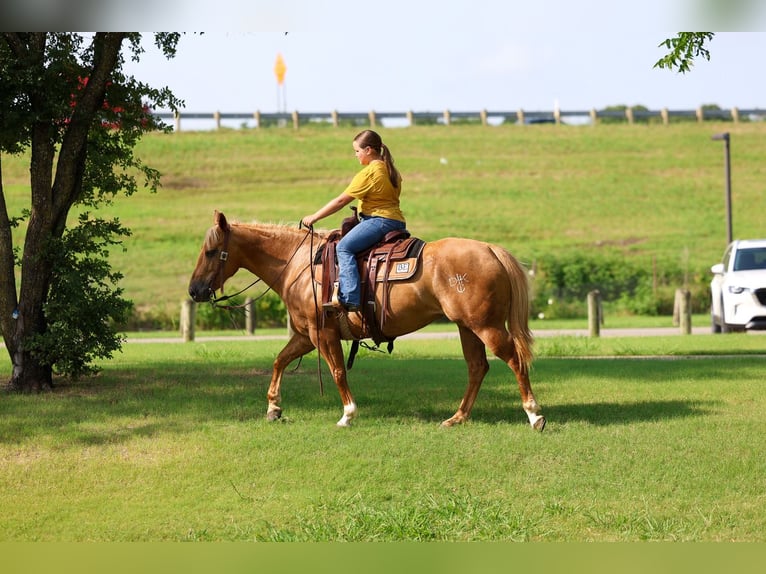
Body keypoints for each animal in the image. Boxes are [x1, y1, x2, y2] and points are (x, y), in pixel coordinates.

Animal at [188, 211, 545, 431]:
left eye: (210, 252)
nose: (194, 290)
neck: (299, 264)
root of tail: (490, 249)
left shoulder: (322, 333)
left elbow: (336, 371)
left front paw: (348, 414)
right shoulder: (305, 334)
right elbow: (279, 361)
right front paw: (274, 408)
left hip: (486, 326)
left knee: (514, 360)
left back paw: (533, 414)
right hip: (467, 327)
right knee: (477, 368)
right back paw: (457, 417)